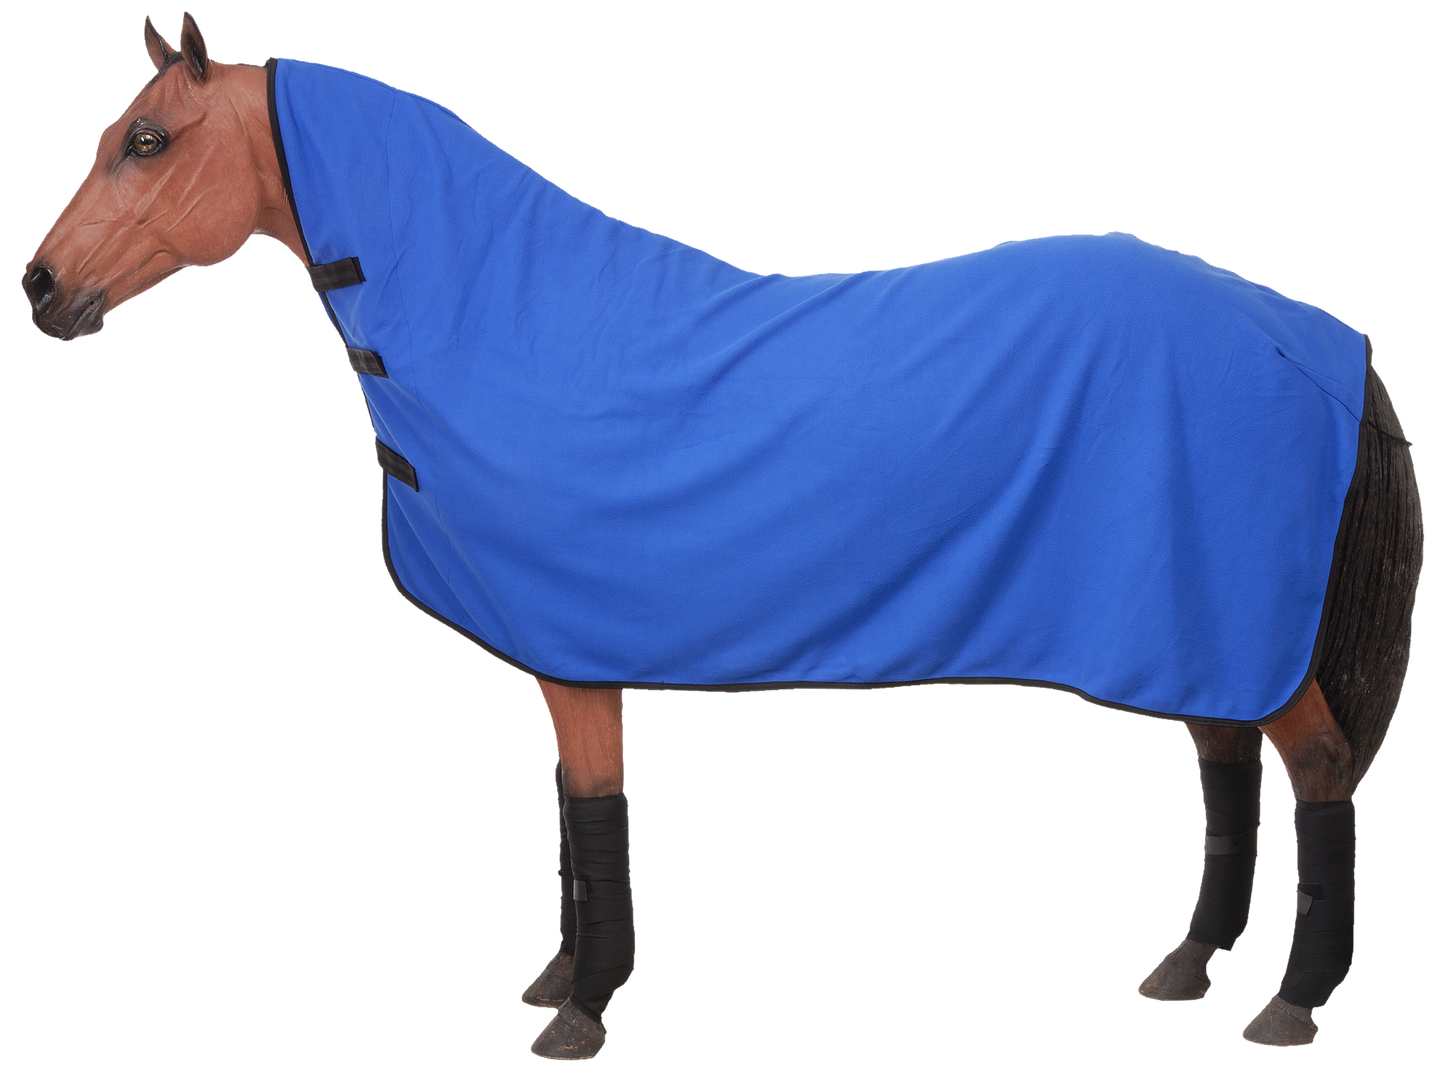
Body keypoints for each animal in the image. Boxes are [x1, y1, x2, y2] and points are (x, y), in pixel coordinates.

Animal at [21, 11, 1426, 1060]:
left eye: (145, 137)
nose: (39, 289)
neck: (511, 319)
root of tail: (1310, 333)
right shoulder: (562, 655)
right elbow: (564, 821)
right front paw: (556, 981)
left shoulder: (579, 658)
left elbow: (592, 821)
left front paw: (582, 1012)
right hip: (1187, 625)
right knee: (1223, 765)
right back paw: (1186, 964)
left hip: (1238, 634)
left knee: (1313, 770)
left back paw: (1287, 1003)